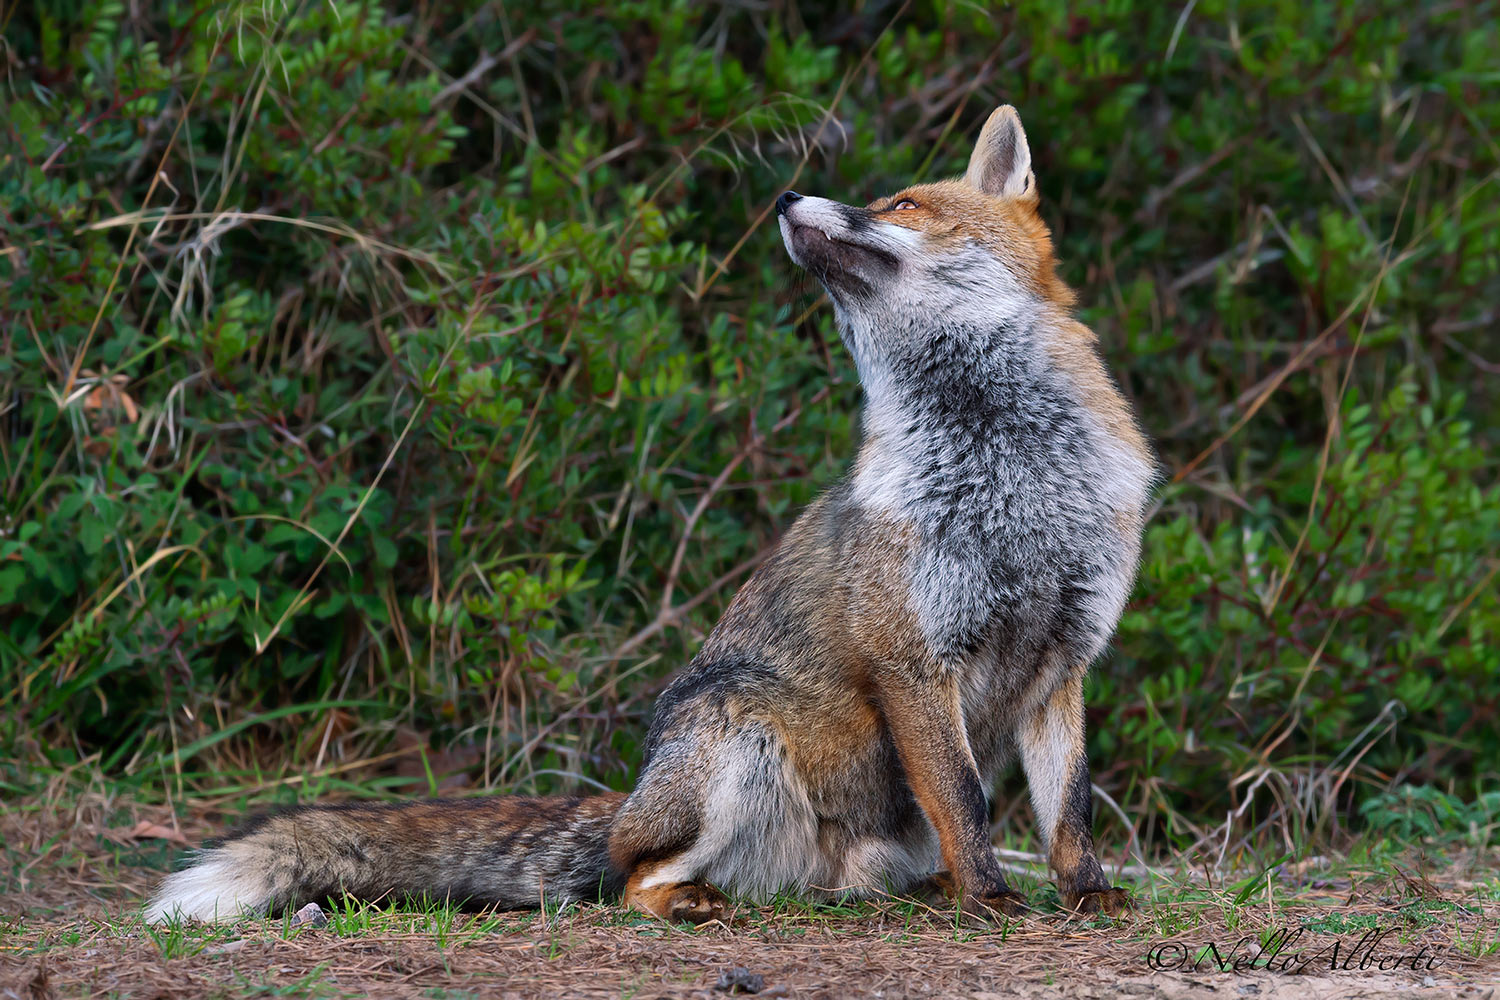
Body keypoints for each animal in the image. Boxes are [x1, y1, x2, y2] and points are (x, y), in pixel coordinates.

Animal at [146, 105, 1153, 925]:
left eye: (902, 204)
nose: (785, 194)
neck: (1010, 476)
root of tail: (631, 796)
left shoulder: (1063, 659)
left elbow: (1069, 809)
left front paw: (1085, 893)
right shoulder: (916, 659)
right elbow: (967, 802)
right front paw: (993, 898)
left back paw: (921, 891)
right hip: (735, 742)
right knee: (631, 879)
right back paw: (697, 902)